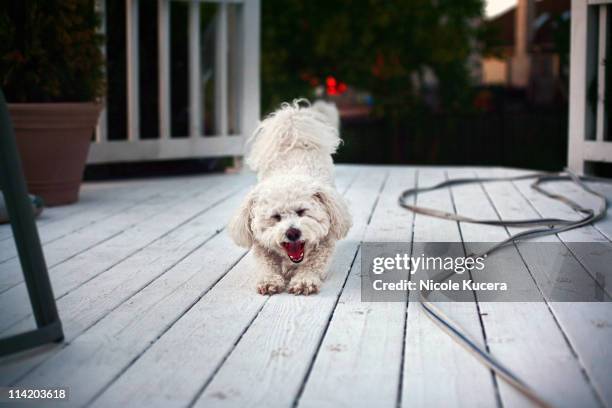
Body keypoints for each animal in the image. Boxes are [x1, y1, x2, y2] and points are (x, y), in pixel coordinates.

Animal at [228, 100, 354, 294]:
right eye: (276, 217)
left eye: (302, 212)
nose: (292, 232)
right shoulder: (261, 246)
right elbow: (266, 265)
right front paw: (269, 281)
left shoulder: (324, 243)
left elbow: (312, 265)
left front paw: (304, 281)